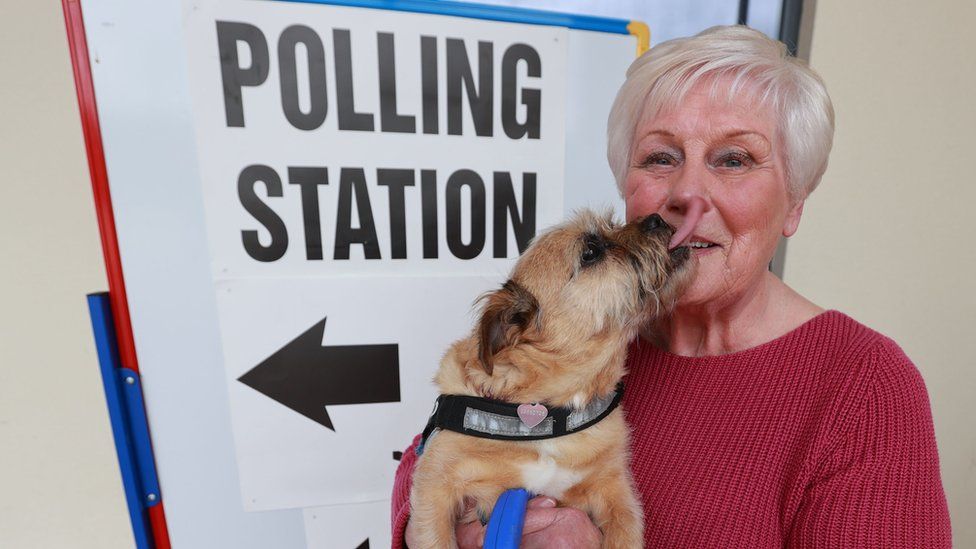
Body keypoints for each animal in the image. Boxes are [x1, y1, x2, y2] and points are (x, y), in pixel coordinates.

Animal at [408, 208, 692, 544]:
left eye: (612, 222)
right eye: (590, 252)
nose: (656, 218)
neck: (547, 414)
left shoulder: (616, 491)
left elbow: (625, 534)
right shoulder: (434, 488)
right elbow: (436, 538)